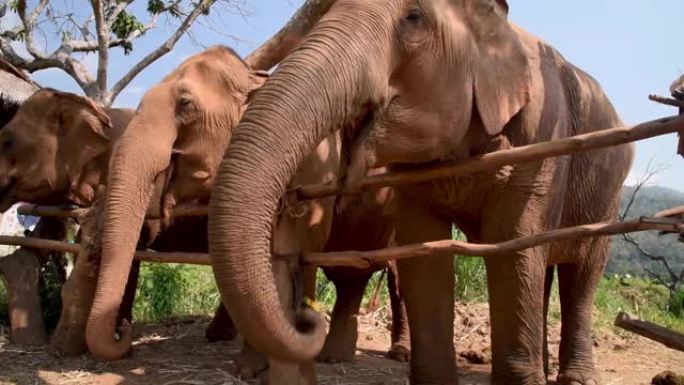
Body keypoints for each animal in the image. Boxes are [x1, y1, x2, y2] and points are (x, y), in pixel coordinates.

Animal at [208, 0, 636, 384]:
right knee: (543, 268)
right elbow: (425, 252)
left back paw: (575, 378)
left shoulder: (541, 138)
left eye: (413, 18)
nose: (306, 317)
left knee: (580, 274)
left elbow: (511, 245)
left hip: (607, 196)